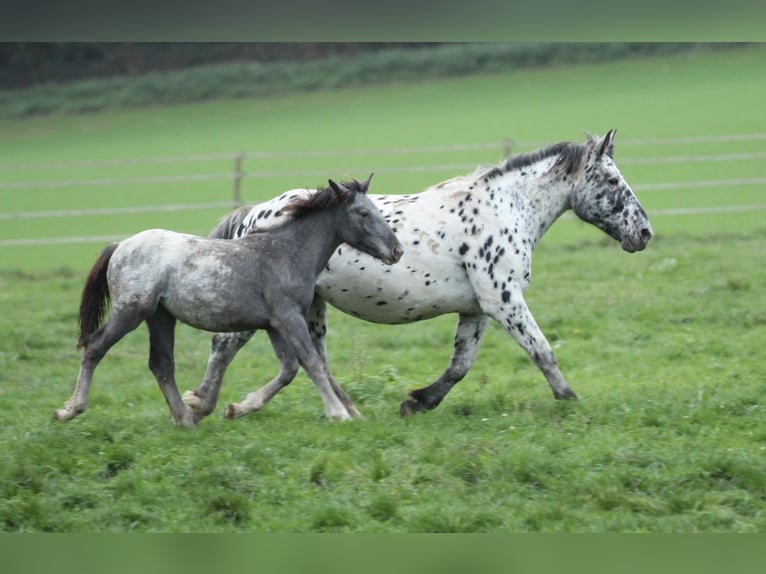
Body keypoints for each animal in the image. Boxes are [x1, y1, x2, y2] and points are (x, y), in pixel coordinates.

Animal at [184, 129, 656, 424]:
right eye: (612, 180)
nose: (644, 233)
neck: (506, 209)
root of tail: (255, 213)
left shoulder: (478, 309)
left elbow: (460, 365)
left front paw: (417, 402)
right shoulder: (503, 300)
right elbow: (542, 350)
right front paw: (570, 401)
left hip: (312, 307)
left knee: (311, 358)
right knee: (225, 345)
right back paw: (201, 404)